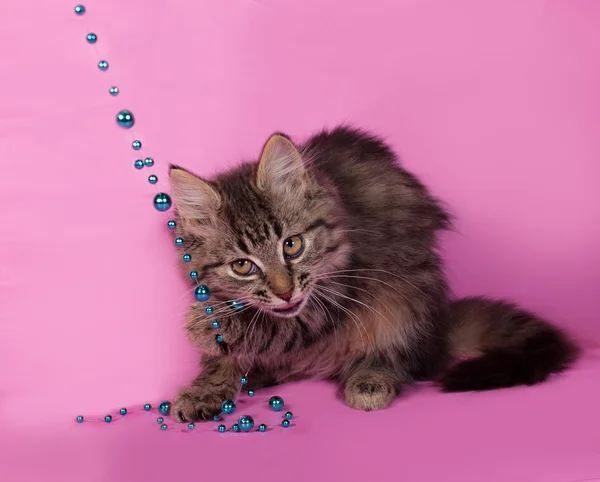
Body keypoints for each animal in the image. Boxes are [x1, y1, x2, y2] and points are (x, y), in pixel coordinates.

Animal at [166, 125, 580, 422]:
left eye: (292, 245)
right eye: (242, 265)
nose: (284, 292)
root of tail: (440, 328)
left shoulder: (334, 297)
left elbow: (270, 327)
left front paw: (209, 327)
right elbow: (225, 354)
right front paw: (207, 389)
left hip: (406, 300)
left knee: (400, 356)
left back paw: (371, 379)